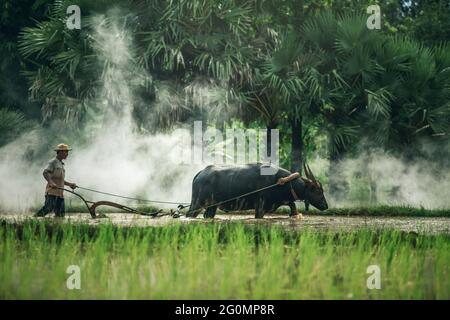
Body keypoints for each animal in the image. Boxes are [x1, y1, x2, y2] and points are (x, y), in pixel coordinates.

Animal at [186, 162, 326, 218]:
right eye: (317, 190)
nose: (325, 205)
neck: (279, 182)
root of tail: (200, 173)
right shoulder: (260, 207)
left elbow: (293, 206)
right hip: (197, 204)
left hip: (212, 207)